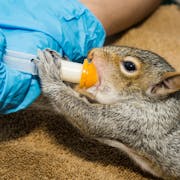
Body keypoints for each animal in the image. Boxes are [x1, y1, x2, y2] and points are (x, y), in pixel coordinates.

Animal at [34, 46, 180, 179]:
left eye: (130, 66)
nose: (92, 52)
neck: (158, 101)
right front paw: (60, 61)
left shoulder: (140, 120)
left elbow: (90, 118)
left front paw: (50, 74)